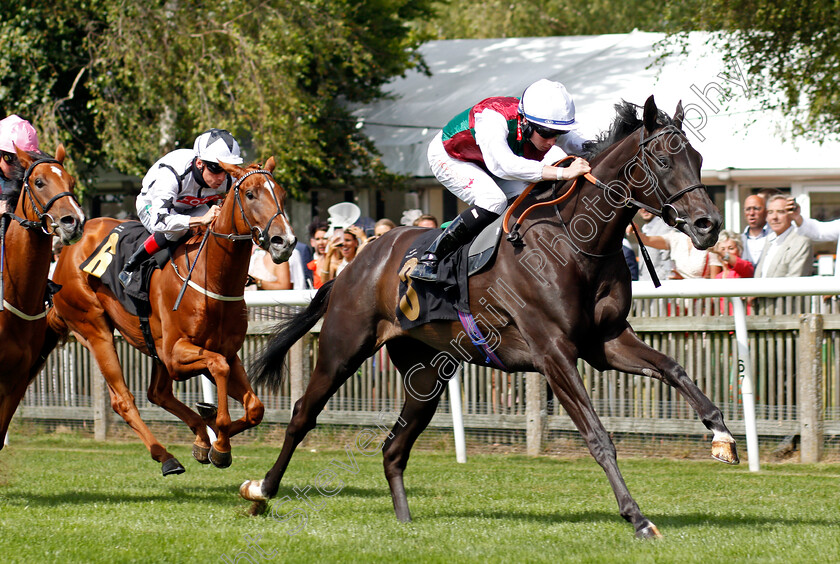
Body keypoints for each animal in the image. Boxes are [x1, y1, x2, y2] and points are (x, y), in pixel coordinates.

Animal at [46, 156, 296, 474]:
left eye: (282, 194)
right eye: (250, 194)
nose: (284, 241)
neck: (211, 279)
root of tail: (66, 251)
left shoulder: (225, 351)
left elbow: (254, 408)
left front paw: (214, 439)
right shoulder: (178, 354)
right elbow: (218, 368)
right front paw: (219, 439)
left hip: (153, 345)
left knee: (158, 393)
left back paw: (200, 437)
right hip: (94, 328)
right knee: (124, 399)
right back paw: (167, 457)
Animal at [240, 97, 740, 536]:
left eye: (697, 157)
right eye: (663, 160)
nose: (708, 226)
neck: (575, 242)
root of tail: (357, 262)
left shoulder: (606, 342)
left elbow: (675, 369)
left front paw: (722, 436)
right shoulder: (554, 353)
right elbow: (599, 437)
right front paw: (637, 518)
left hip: (425, 375)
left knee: (393, 449)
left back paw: (405, 523)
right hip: (343, 348)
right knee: (303, 415)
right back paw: (261, 491)